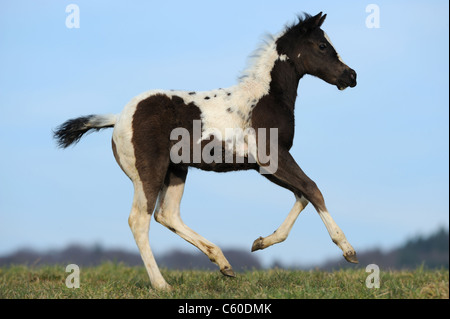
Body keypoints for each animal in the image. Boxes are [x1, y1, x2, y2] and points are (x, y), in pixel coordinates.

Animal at [54, 12, 358, 292]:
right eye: (322, 45)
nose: (351, 75)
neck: (265, 98)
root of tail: (118, 118)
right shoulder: (272, 157)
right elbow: (313, 188)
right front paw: (347, 249)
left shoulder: (266, 166)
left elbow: (302, 195)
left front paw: (261, 242)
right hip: (149, 173)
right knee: (140, 220)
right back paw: (162, 284)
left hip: (176, 170)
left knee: (167, 214)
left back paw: (222, 263)